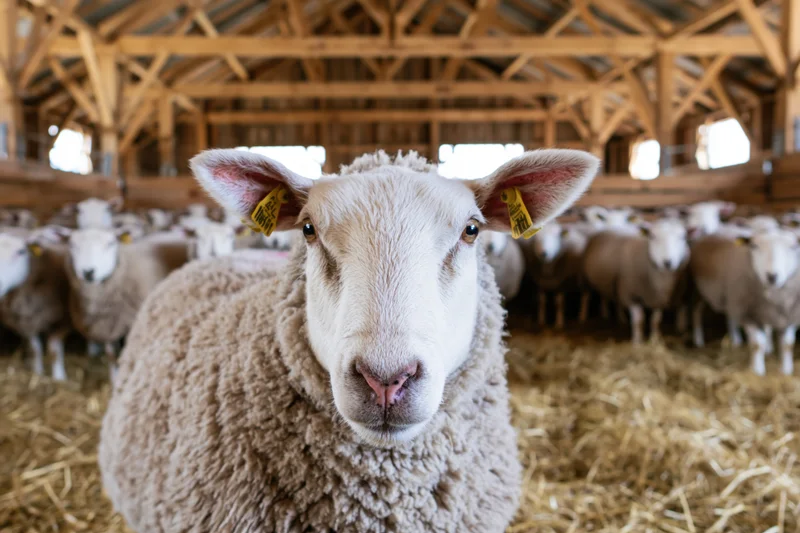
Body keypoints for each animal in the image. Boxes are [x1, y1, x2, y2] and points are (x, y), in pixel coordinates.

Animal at [0, 230, 70, 379]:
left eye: (21, 251)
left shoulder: (63, 321)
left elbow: (54, 350)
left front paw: (59, 377)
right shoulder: (26, 322)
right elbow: (35, 349)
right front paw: (38, 372)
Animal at [691, 229, 800, 375]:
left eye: (793, 247)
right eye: (754, 246)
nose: (772, 276)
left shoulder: (790, 316)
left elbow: (787, 344)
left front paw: (786, 370)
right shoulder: (748, 314)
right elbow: (757, 344)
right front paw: (757, 370)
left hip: (731, 298)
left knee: (730, 316)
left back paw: (736, 340)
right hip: (699, 290)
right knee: (696, 311)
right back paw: (698, 339)